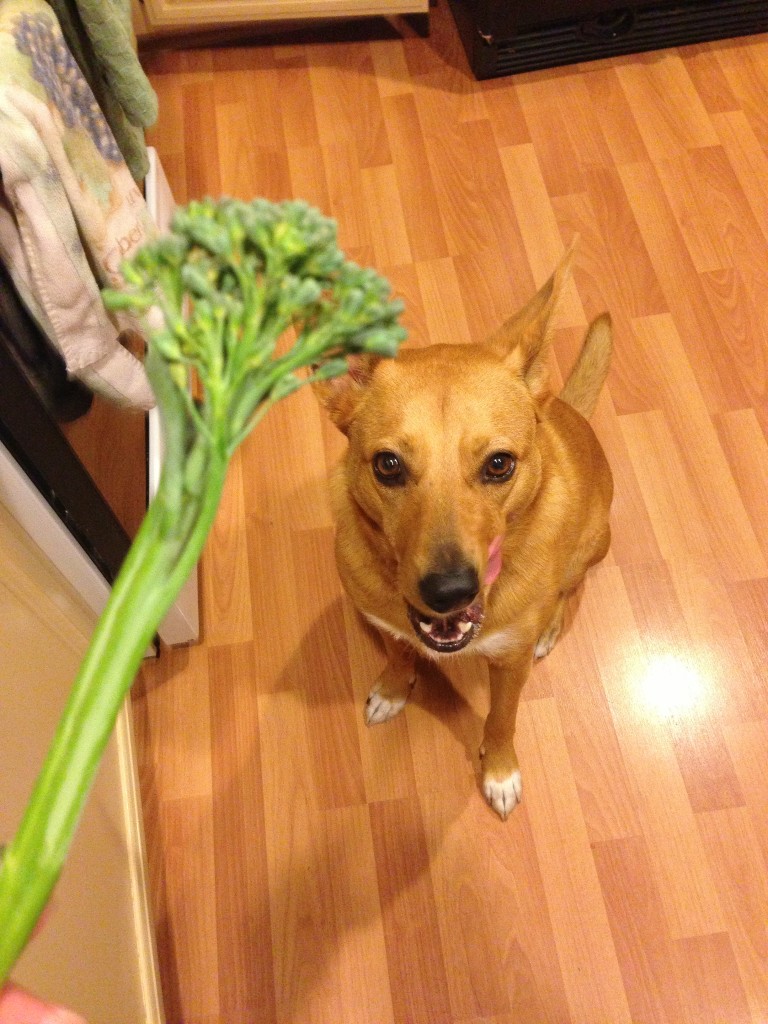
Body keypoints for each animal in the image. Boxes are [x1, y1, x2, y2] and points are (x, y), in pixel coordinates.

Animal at [313, 249, 614, 823]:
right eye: (388, 465)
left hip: (592, 544)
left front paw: (498, 771)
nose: (449, 592)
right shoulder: (387, 623)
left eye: (499, 464)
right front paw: (393, 690)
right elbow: (399, 655)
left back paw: (549, 626)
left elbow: (501, 719)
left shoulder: (510, 665)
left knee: (568, 589)